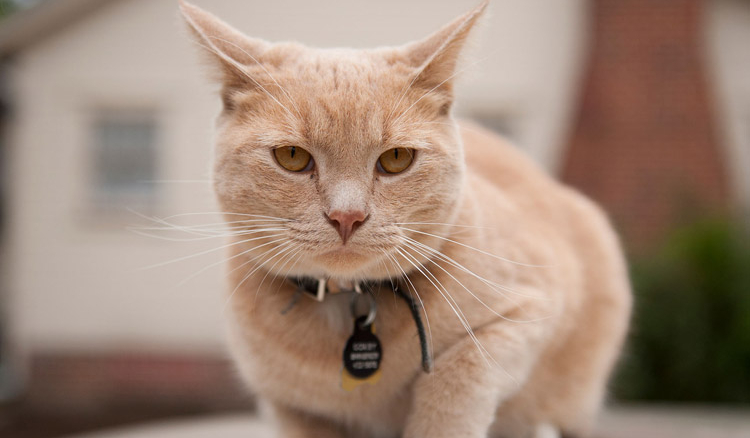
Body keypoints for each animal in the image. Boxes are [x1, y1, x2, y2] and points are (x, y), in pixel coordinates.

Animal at [181, 1, 636, 436]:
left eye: (396, 159)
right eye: (291, 156)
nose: (347, 216)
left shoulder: (530, 311)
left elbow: (455, 379)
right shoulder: (287, 407)